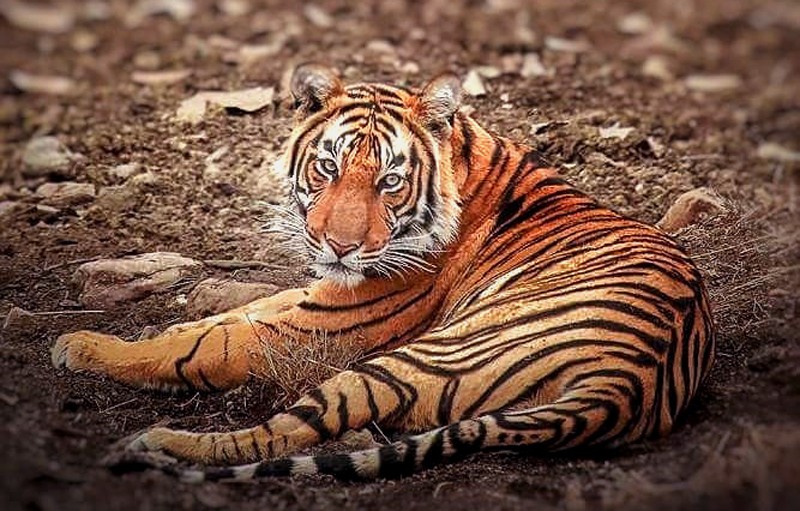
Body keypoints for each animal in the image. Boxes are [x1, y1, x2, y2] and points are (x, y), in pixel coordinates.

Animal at [51, 64, 715, 482]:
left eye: (390, 181)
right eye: (327, 167)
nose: (340, 247)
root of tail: (622, 388)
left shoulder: (318, 328)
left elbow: (202, 347)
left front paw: (83, 345)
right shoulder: (312, 296)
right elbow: (232, 312)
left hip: (406, 362)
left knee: (281, 434)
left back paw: (160, 443)